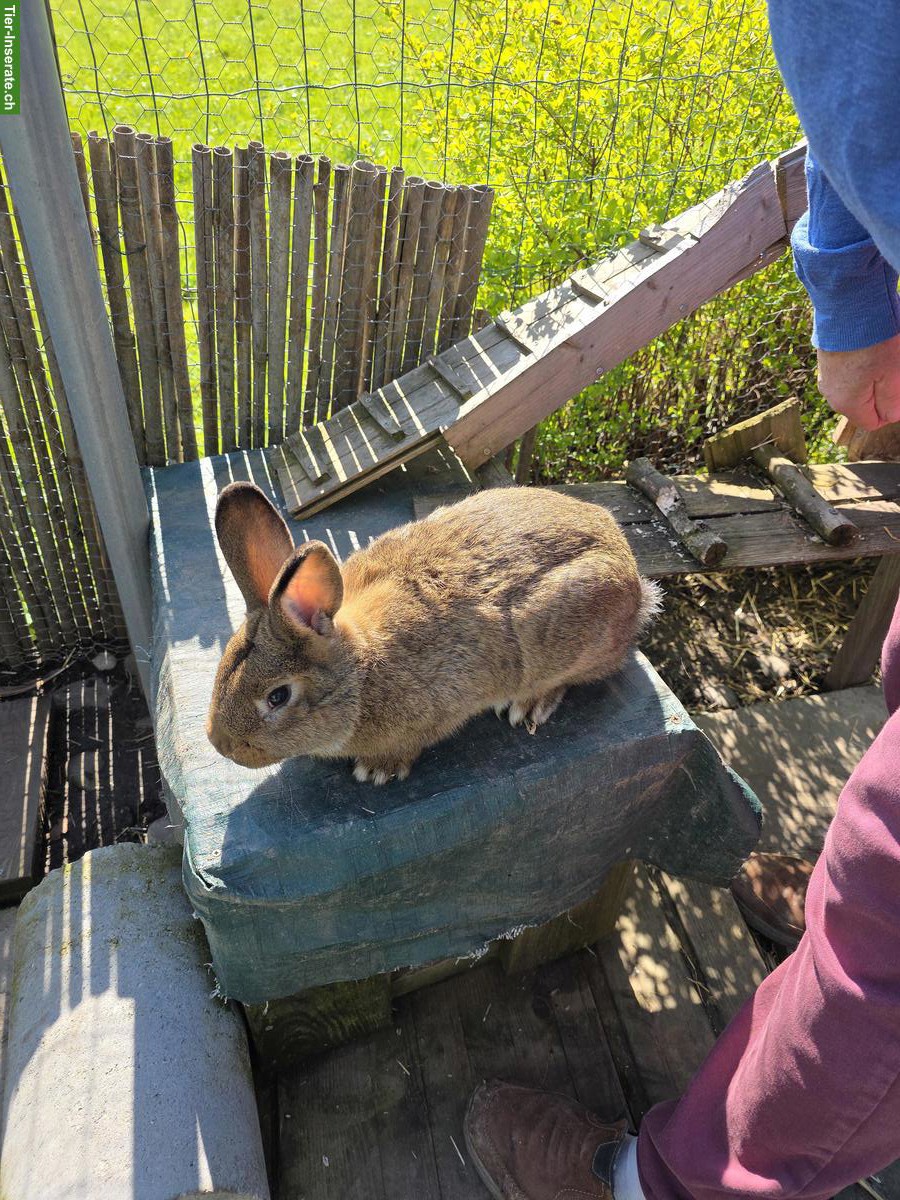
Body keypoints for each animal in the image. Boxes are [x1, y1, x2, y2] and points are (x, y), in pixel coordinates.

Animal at [206, 481, 661, 784]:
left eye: (277, 697)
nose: (220, 745)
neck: (360, 671)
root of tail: (636, 580)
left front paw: (377, 771)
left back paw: (529, 705)